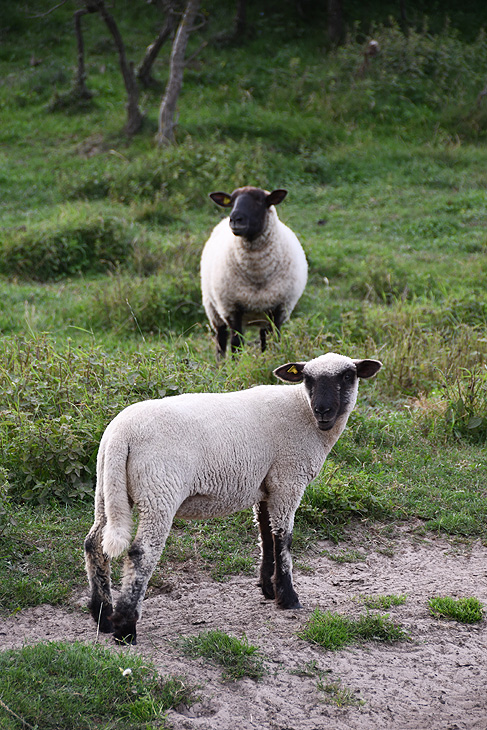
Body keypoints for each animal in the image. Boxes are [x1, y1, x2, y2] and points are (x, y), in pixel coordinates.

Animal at [84, 352, 384, 644]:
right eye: (308, 378)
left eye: (347, 376)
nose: (323, 411)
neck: (302, 411)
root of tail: (122, 434)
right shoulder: (288, 480)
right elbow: (283, 538)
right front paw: (288, 597)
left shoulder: (265, 485)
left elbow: (266, 535)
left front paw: (268, 587)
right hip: (159, 490)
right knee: (142, 552)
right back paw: (126, 629)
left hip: (108, 488)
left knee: (94, 544)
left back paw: (103, 617)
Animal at [199, 185, 306, 356]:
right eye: (232, 201)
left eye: (260, 201)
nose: (235, 219)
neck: (258, 273)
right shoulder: (231, 308)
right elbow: (236, 343)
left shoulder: (280, 308)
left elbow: (275, 340)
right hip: (212, 307)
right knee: (221, 339)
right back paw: (220, 363)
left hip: (263, 314)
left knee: (264, 338)